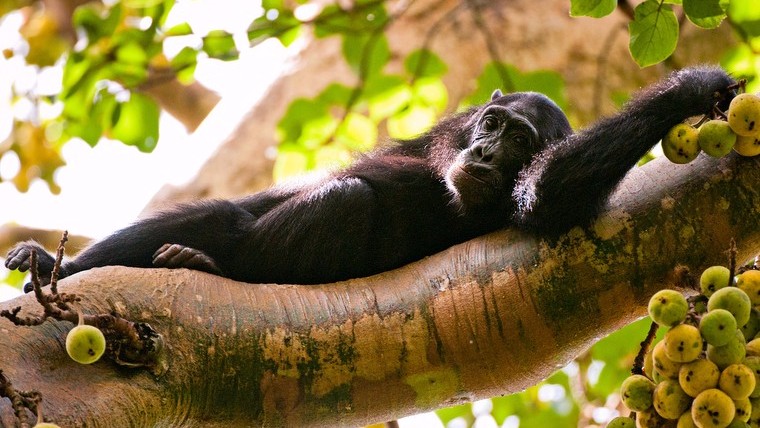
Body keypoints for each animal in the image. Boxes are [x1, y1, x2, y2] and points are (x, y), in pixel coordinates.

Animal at [2, 65, 732, 290]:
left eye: (522, 144)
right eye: (494, 124)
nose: (487, 154)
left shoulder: (523, 201)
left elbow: (544, 197)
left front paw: (687, 90)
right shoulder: (433, 132)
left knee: (344, 203)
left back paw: (207, 266)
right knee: (228, 215)